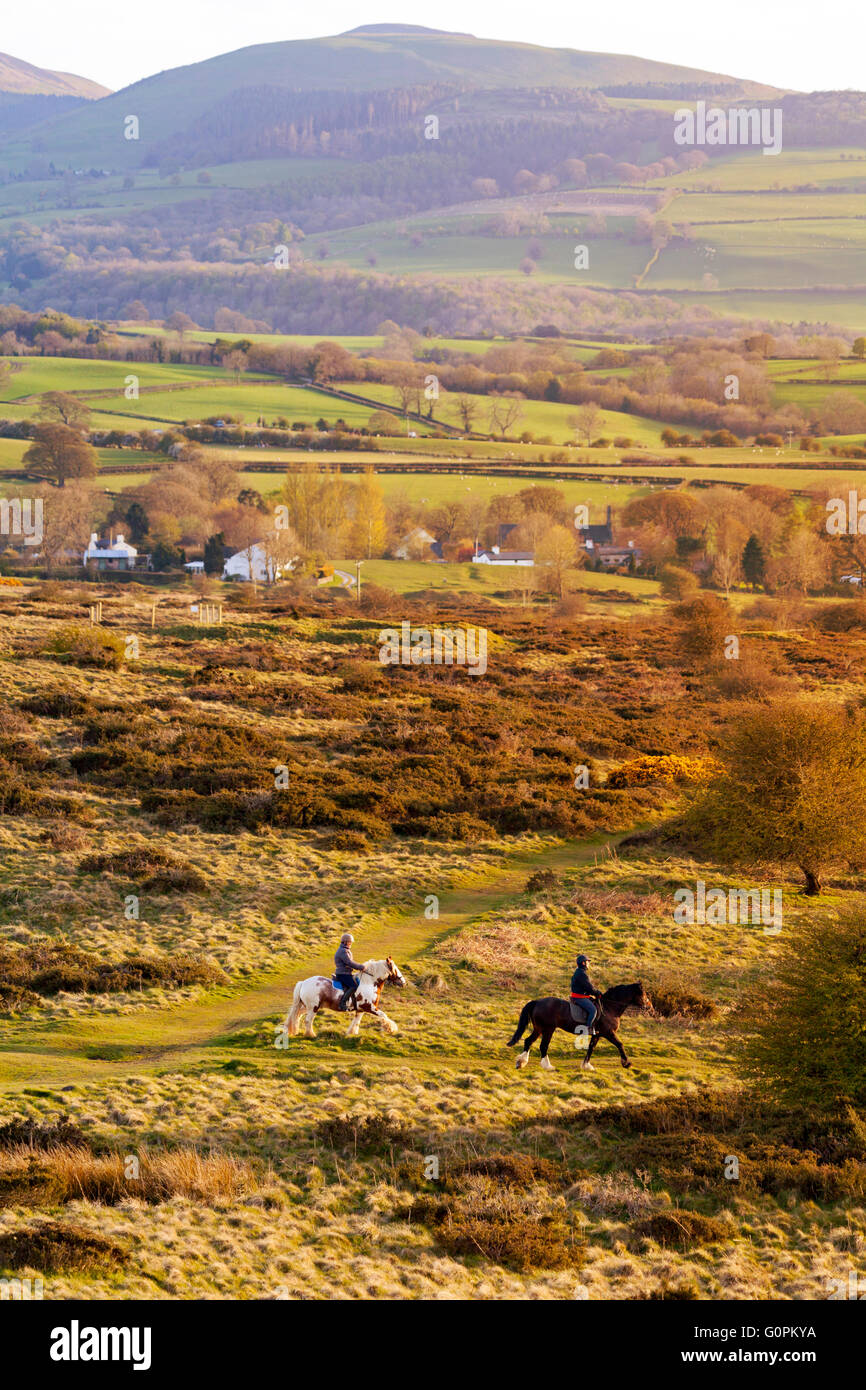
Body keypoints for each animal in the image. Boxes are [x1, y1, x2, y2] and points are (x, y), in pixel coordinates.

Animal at [508, 984, 650, 1067]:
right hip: (548, 1029)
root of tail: (537, 1002)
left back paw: (521, 1062)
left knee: (528, 1041)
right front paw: (626, 1063)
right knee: (543, 1046)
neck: (609, 1007)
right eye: (643, 994)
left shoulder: (597, 1035)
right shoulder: (608, 1033)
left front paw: (586, 1065)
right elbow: (620, 1044)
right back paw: (547, 1066)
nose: (649, 1007)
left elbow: (591, 1048)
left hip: (539, 1029)